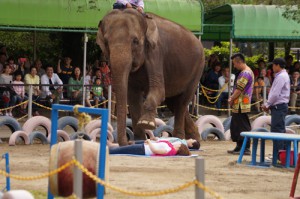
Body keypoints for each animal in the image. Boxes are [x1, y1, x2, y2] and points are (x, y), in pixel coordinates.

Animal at [97, 8, 205, 146]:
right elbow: (132, 97)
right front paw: (139, 140)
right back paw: (195, 139)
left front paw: (146, 123)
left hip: (197, 68)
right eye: (105, 42)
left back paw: (181, 139)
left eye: (135, 41)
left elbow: (158, 90)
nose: (128, 142)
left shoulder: (156, 51)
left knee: (182, 102)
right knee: (174, 103)